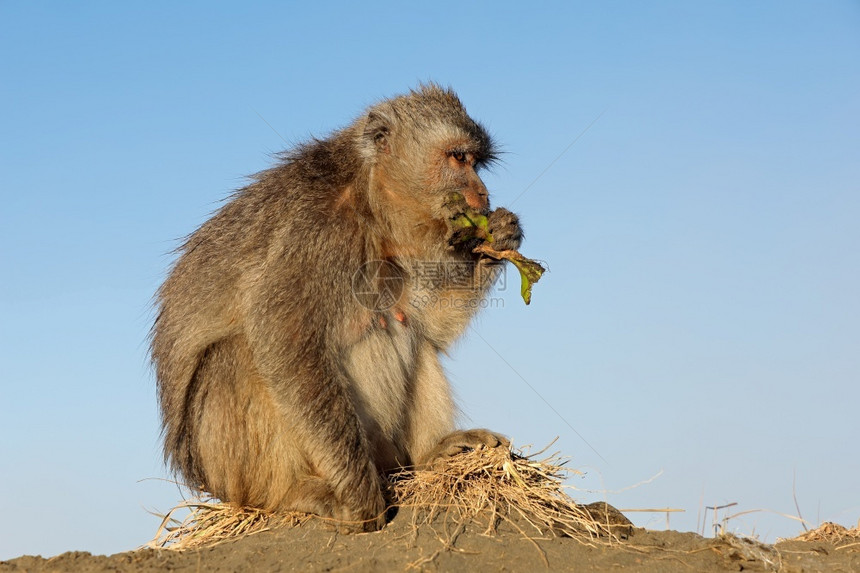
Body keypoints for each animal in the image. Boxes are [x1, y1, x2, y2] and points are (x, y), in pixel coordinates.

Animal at [149, 85, 524, 532]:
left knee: (409, 332)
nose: (482, 195)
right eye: (459, 158)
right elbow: (283, 338)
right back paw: (292, 493)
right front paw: (361, 497)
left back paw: (432, 453)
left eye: (477, 163)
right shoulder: (315, 231)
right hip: (229, 472)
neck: (368, 199)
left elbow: (429, 326)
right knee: (234, 356)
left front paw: (498, 237)